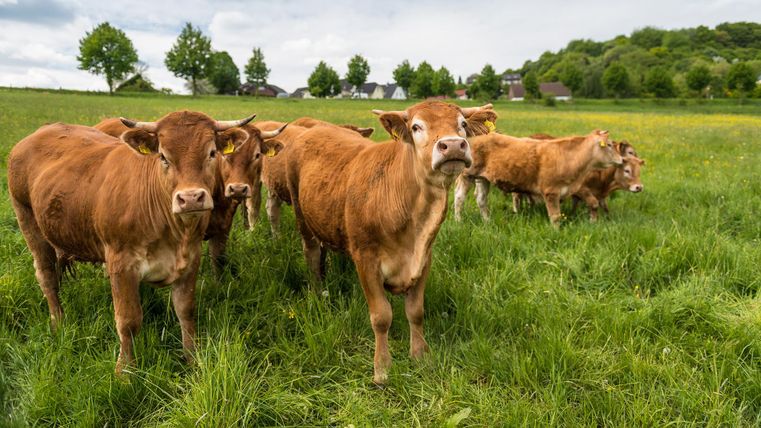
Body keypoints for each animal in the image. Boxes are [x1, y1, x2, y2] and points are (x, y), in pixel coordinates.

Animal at [8, 111, 256, 374]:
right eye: (163, 156)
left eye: (211, 153)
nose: (190, 199)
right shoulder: (121, 264)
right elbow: (128, 321)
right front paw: (125, 371)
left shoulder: (191, 259)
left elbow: (186, 311)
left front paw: (192, 359)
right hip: (27, 220)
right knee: (46, 276)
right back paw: (58, 322)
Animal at [284, 101, 497, 384]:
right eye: (416, 127)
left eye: (462, 124)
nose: (452, 145)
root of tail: (315, 129)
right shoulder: (366, 259)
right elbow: (381, 317)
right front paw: (382, 369)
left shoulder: (424, 258)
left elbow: (416, 311)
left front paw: (420, 356)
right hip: (301, 214)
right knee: (310, 252)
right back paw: (318, 293)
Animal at [454, 130, 623, 226]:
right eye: (609, 145)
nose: (621, 160)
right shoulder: (551, 192)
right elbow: (555, 217)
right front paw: (556, 232)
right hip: (467, 174)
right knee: (459, 198)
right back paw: (458, 221)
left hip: (483, 178)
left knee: (481, 199)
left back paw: (487, 221)